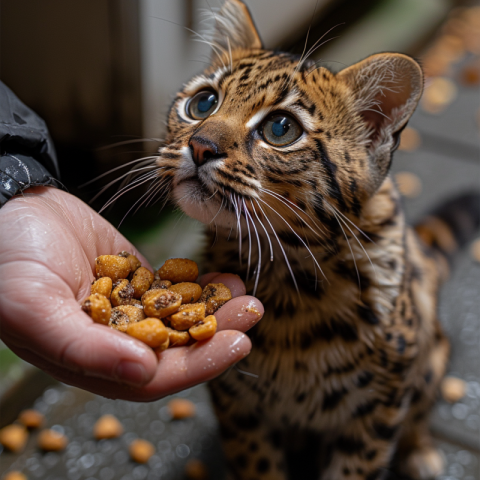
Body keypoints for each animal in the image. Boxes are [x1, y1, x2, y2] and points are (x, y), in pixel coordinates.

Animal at [153, 1, 480, 478]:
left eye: (281, 129)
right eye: (203, 103)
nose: (199, 145)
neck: (289, 276)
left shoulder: (378, 406)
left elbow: (355, 467)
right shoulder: (237, 403)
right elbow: (256, 463)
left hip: (428, 354)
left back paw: (419, 452)